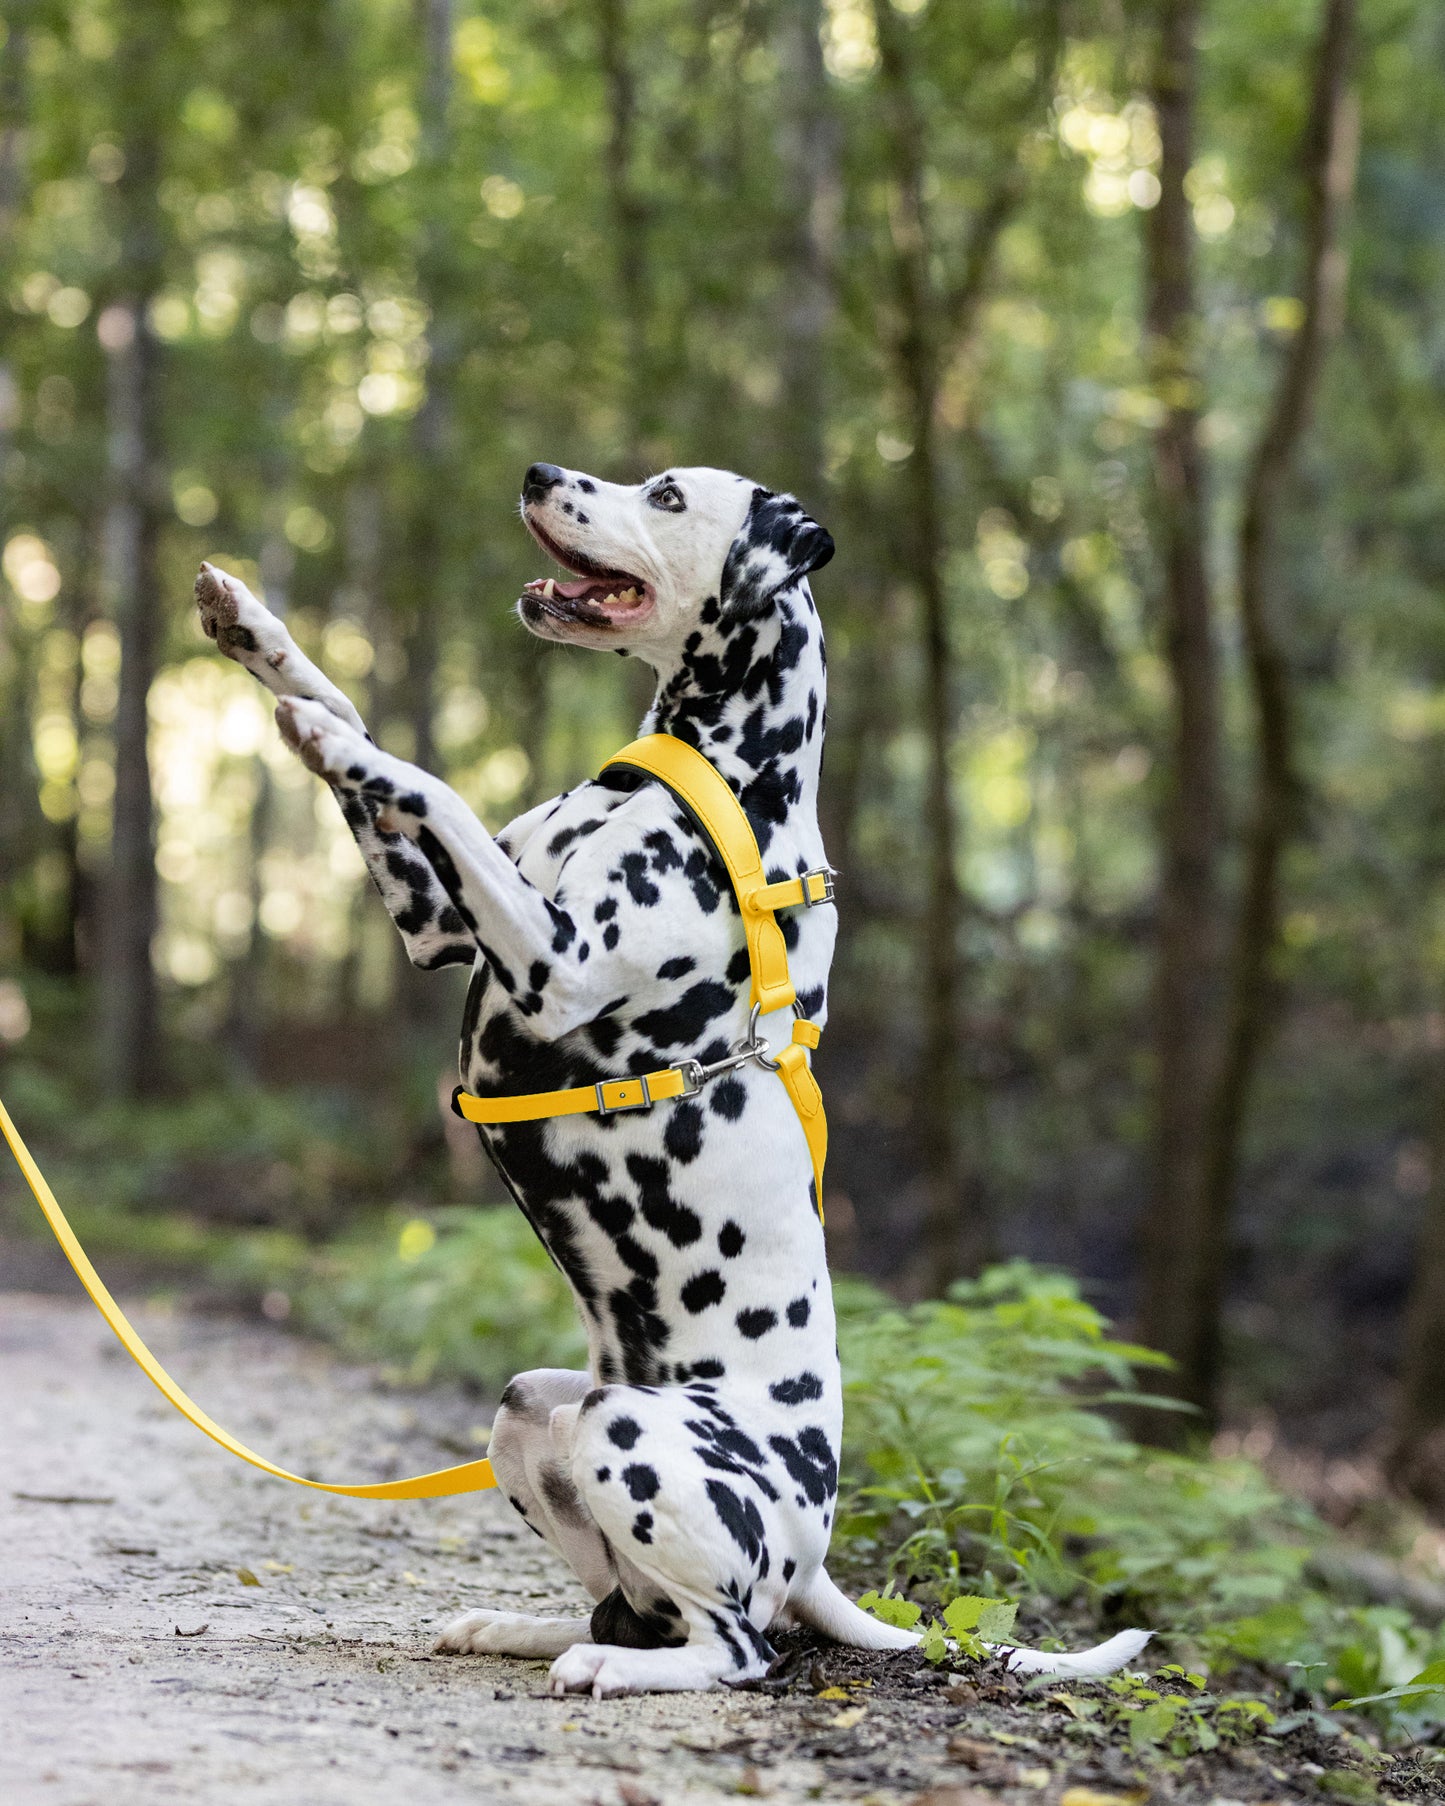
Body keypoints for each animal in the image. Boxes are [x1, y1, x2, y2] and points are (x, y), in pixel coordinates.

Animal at [197, 462, 1148, 1690]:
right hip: (534, 1411)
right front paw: (257, 637)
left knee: (736, 1651)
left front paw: (320, 728)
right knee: (624, 1605)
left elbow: (423, 777)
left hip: (631, 1439)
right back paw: (526, 1631)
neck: (716, 778)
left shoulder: (551, 961)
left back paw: (620, 1670)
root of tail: (812, 1554)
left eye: (664, 494)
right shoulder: (438, 924)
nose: (538, 473)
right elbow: (369, 725)